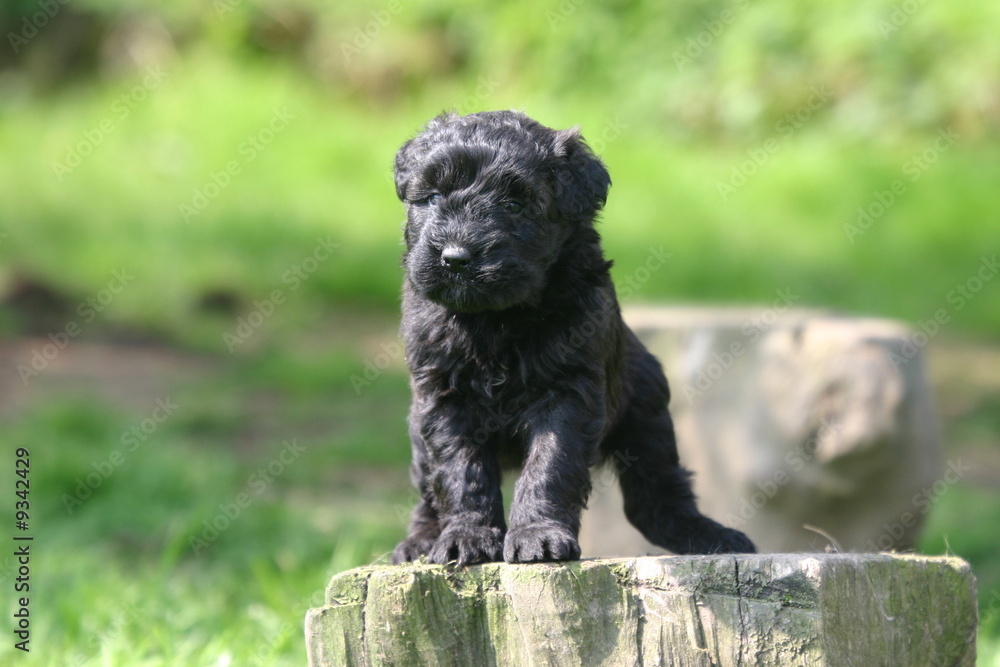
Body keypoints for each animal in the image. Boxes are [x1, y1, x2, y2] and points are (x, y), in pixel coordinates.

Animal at [388, 111, 752, 564]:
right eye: (433, 197)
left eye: (513, 205)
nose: (455, 258)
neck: (496, 319)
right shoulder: (442, 397)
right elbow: (459, 471)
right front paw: (467, 537)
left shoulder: (568, 389)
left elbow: (551, 464)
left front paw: (538, 535)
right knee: (426, 491)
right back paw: (418, 542)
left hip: (648, 410)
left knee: (657, 495)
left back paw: (709, 536)